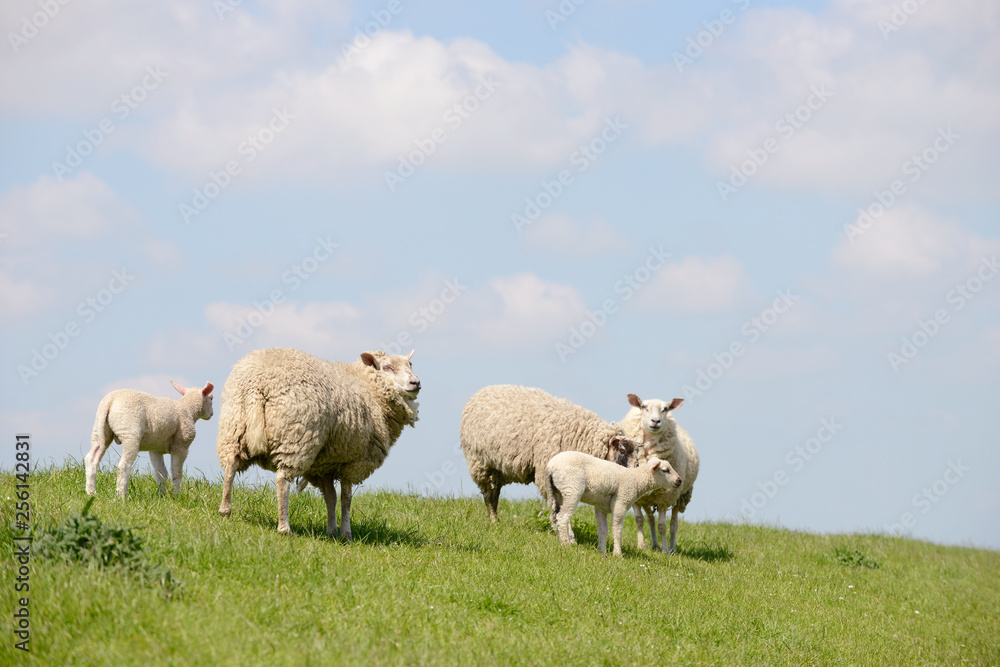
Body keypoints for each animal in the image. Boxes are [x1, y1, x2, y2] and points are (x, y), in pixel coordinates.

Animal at [87, 378, 217, 498]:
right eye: (211, 398)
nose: (212, 414)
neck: (188, 409)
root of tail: (110, 400)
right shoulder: (181, 445)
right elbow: (177, 473)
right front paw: (176, 496)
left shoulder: (155, 448)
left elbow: (161, 473)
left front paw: (162, 496)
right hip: (130, 432)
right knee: (123, 466)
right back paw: (121, 496)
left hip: (99, 430)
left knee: (91, 458)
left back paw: (91, 492)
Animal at [217, 348, 420, 540]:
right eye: (387, 367)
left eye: (410, 364)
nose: (416, 383)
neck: (369, 388)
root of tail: (257, 382)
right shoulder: (353, 462)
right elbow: (346, 499)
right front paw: (346, 534)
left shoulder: (325, 465)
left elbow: (331, 497)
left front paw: (331, 531)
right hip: (296, 439)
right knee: (282, 480)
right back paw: (284, 528)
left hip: (234, 428)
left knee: (231, 465)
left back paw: (225, 510)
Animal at [458, 384, 636, 524]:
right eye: (621, 450)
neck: (581, 435)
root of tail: (483, 390)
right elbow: (557, 505)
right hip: (480, 462)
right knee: (489, 494)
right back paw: (494, 520)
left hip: (498, 468)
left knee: (495, 492)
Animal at [544, 454, 684, 560]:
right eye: (665, 470)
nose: (679, 480)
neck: (637, 480)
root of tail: (550, 467)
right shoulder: (621, 502)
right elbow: (617, 529)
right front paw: (618, 554)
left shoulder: (600, 507)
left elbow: (603, 529)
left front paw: (602, 551)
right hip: (572, 489)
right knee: (562, 517)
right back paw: (566, 544)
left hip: (558, 492)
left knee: (554, 516)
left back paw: (559, 539)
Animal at [620, 394, 700, 556]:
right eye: (643, 407)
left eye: (666, 409)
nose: (656, 421)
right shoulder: (637, 497)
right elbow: (639, 520)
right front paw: (641, 546)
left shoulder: (665, 497)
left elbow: (662, 526)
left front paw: (665, 551)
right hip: (647, 498)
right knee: (650, 518)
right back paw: (655, 544)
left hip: (680, 496)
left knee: (674, 523)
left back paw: (672, 548)